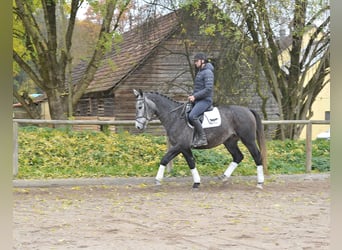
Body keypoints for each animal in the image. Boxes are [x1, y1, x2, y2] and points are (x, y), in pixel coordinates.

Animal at [134, 89, 268, 188]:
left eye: (140, 107)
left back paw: (260, 182)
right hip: (230, 141)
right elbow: (170, 160)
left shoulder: (181, 146)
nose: (138, 126)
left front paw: (196, 182)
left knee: (257, 156)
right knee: (238, 156)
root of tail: (247, 110)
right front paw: (158, 180)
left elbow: (185, 161)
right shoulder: (180, 147)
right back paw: (223, 177)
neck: (175, 117)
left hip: (248, 140)